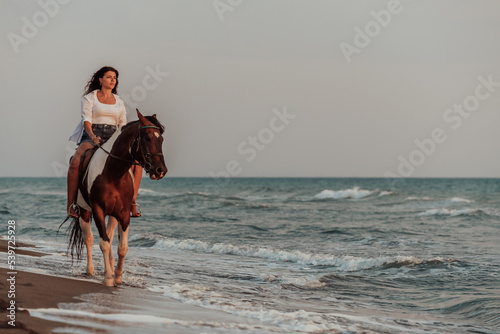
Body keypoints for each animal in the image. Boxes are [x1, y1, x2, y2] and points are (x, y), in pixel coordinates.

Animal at [63, 110, 166, 288]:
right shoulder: (98, 210)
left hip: (113, 214)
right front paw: (109, 278)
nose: (160, 170)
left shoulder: (123, 213)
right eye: (147, 137)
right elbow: (103, 243)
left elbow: (121, 247)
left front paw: (117, 276)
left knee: (110, 237)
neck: (114, 173)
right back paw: (91, 270)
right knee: (89, 239)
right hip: (84, 211)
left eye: (161, 139)